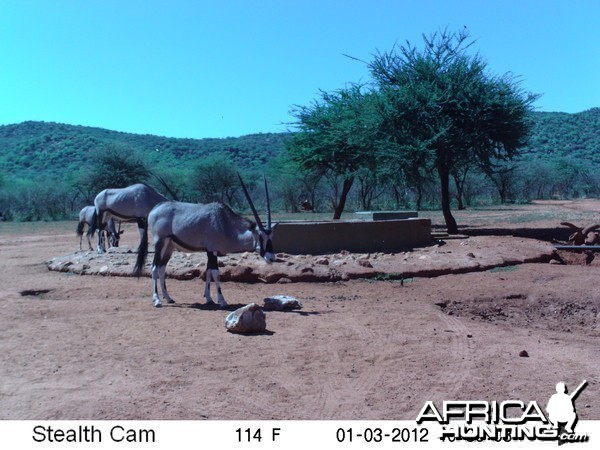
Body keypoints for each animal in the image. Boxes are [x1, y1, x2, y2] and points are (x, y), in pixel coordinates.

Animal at [132, 174, 276, 308]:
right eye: (260, 236)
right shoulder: (212, 250)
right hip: (160, 242)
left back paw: (168, 298)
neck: (225, 223)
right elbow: (215, 273)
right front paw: (222, 301)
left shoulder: (210, 251)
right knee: (154, 267)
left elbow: (208, 272)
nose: (271, 258)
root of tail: (153, 210)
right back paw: (157, 300)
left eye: (271, 237)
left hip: (169, 247)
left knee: (162, 268)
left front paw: (208, 298)